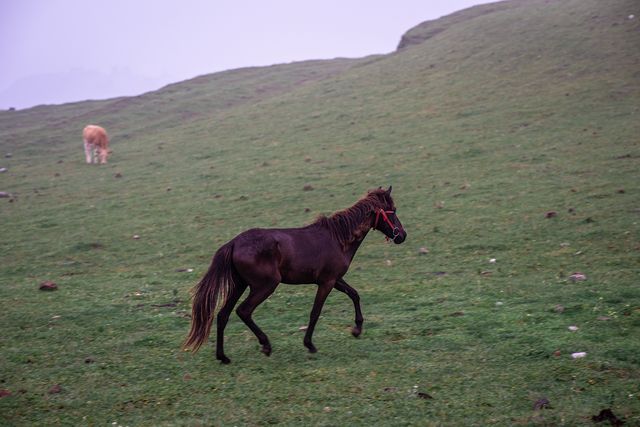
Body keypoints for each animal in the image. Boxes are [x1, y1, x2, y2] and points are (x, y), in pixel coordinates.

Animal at [184, 187, 404, 364]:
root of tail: (234, 243)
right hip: (265, 285)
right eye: (393, 211)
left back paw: (223, 357)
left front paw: (357, 329)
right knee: (243, 311)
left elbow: (355, 295)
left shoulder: (335, 280)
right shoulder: (327, 282)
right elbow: (315, 312)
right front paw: (309, 344)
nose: (402, 235)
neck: (338, 238)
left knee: (223, 315)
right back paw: (266, 345)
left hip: (240, 285)